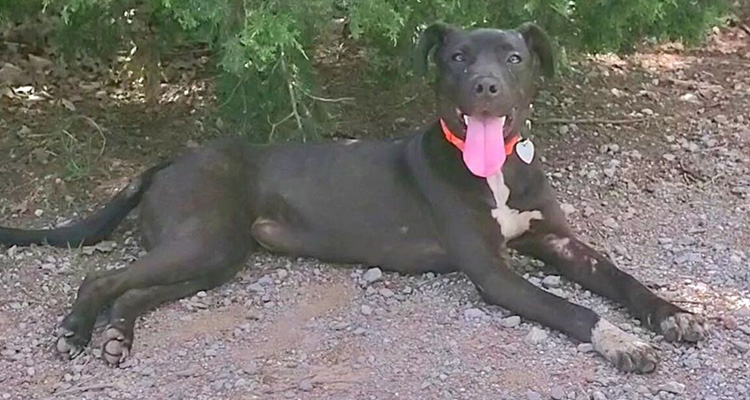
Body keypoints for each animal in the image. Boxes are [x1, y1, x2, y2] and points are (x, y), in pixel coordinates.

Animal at [0, 22, 708, 372]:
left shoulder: (555, 238)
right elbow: (570, 308)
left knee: (133, 292)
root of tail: (172, 159)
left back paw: (117, 338)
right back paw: (75, 331)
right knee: (100, 277)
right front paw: (620, 343)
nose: (484, 86)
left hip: (218, 255)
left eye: (513, 57)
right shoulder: (492, 273)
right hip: (201, 238)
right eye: (456, 56)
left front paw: (670, 313)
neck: (496, 169)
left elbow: (617, 278)